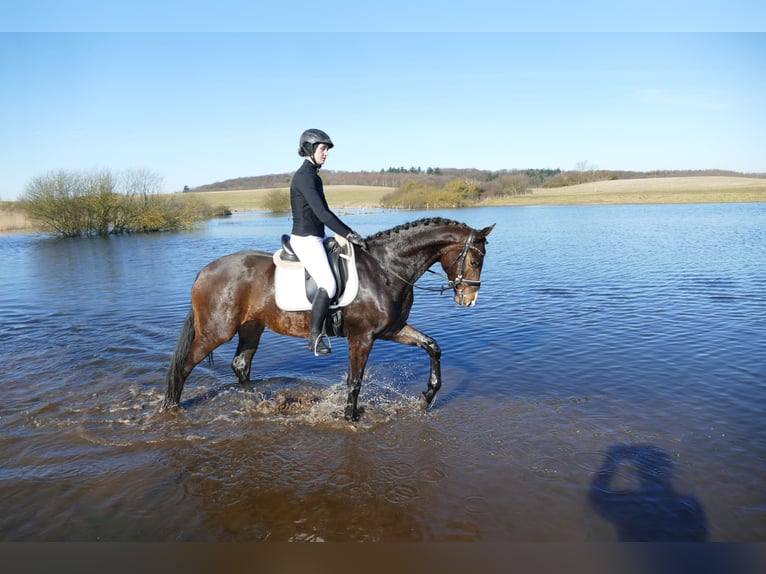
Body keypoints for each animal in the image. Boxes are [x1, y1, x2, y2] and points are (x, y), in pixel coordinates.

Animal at [161, 217, 495, 421]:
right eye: (475, 259)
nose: (469, 299)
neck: (386, 268)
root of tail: (205, 270)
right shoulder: (362, 337)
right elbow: (354, 380)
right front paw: (350, 417)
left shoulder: (393, 329)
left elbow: (432, 347)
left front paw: (427, 396)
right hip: (217, 331)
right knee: (183, 366)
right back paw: (171, 406)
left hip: (251, 327)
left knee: (240, 365)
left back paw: (260, 404)